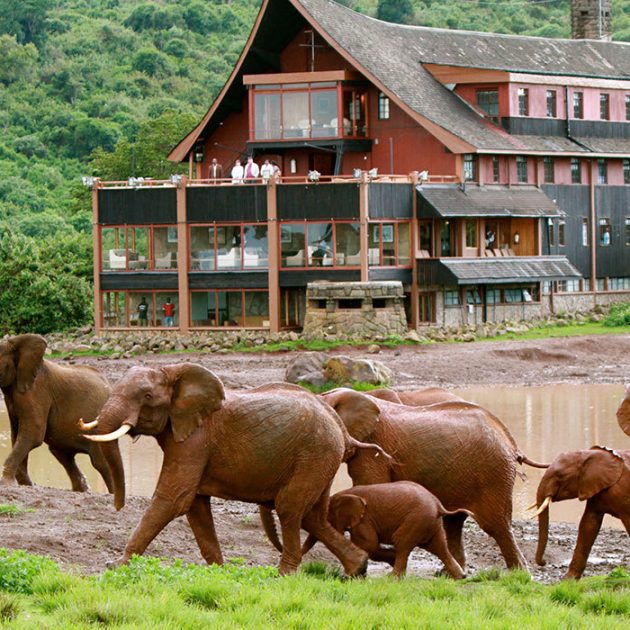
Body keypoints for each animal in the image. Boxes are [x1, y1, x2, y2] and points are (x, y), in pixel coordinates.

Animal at [0, 334, 118, 496]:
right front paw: (26, 485)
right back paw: (82, 490)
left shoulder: (37, 391)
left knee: (100, 462)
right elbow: (17, 435)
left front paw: (6, 483)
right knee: (62, 454)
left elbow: (33, 434)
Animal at [85, 366, 386, 576]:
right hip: (321, 458)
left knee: (290, 508)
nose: (117, 506)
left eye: (147, 396)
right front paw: (219, 572)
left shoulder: (196, 439)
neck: (173, 371)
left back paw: (283, 575)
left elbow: (174, 498)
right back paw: (356, 569)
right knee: (313, 516)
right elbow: (195, 506)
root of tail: (342, 429)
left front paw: (116, 565)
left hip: (315, 453)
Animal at [302, 484, 470, 584]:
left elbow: (369, 545)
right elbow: (370, 546)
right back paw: (460, 577)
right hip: (430, 523)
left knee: (402, 541)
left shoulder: (365, 519)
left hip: (417, 519)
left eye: (327, 518)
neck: (345, 493)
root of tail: (438, 505)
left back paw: (392, 578)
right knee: (439, 547)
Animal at [320, 390, 548, 572]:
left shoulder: (372, 447)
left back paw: (520, 574)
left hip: (493, 473)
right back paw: (450, 573)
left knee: (496, 524)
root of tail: (511, 442)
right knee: (454, 523)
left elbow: (369, 484)